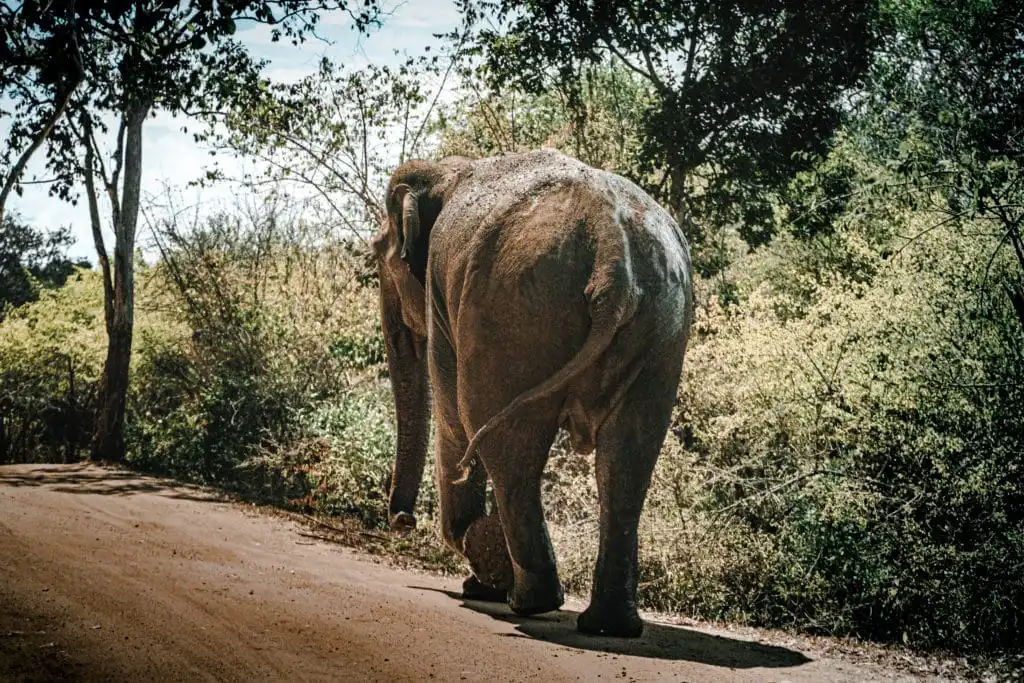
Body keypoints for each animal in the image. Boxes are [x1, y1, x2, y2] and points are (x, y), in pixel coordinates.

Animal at [373, 148, 694, 638]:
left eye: (378, 253)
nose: (403, 521)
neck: (449, 170)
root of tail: (612, 257)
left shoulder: (442, 291)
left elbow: (453, 413)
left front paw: (480, 569)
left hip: (511, 314)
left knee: (505, 442)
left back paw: (527, 600)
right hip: (661, 329)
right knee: (628, 457)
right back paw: (607, 625)